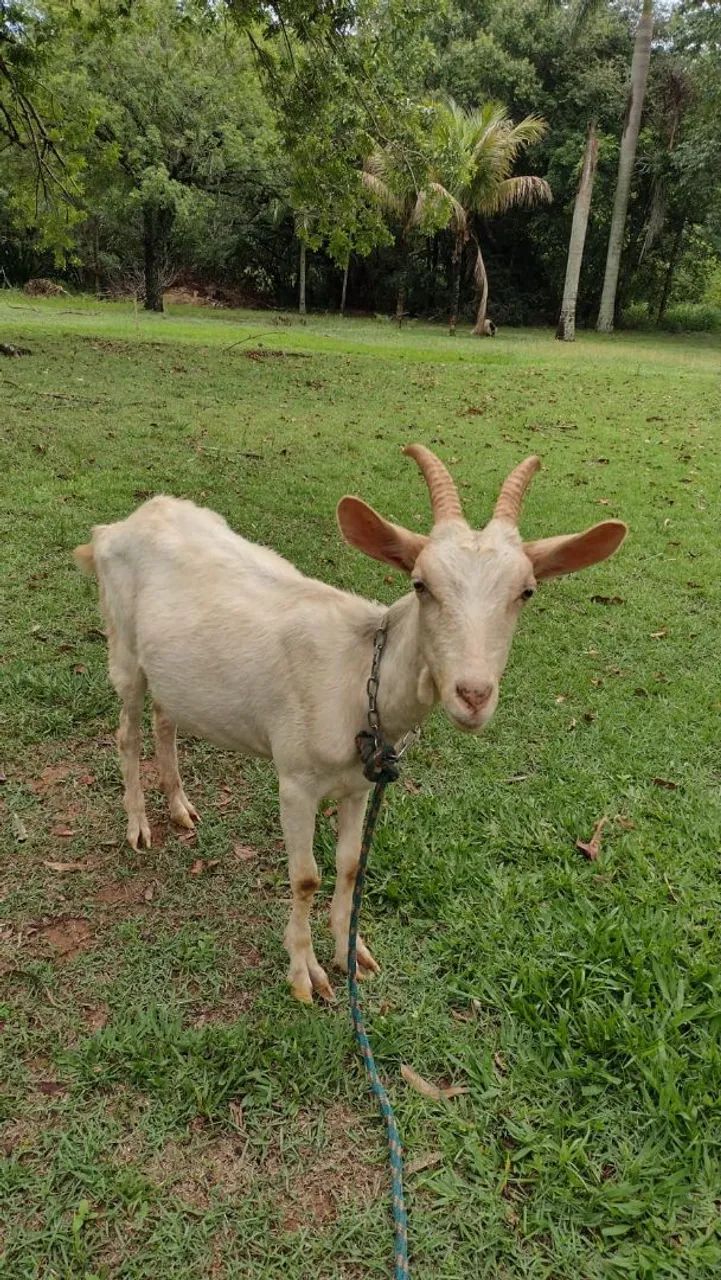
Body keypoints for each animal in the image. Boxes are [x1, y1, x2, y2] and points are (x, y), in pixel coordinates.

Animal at [74, 446, 627, 1002]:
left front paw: (350, 953)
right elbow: (305, 877)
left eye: (527, 592)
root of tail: (116, 526)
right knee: (127, 732)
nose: (473, 695)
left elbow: (349, 865)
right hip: (123, 648)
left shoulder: (360, 785)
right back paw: (139, 826)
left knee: (166, 719)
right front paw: (305, 975)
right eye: (420, 585)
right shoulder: (295, 781)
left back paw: (180, 807)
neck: (360, 677)